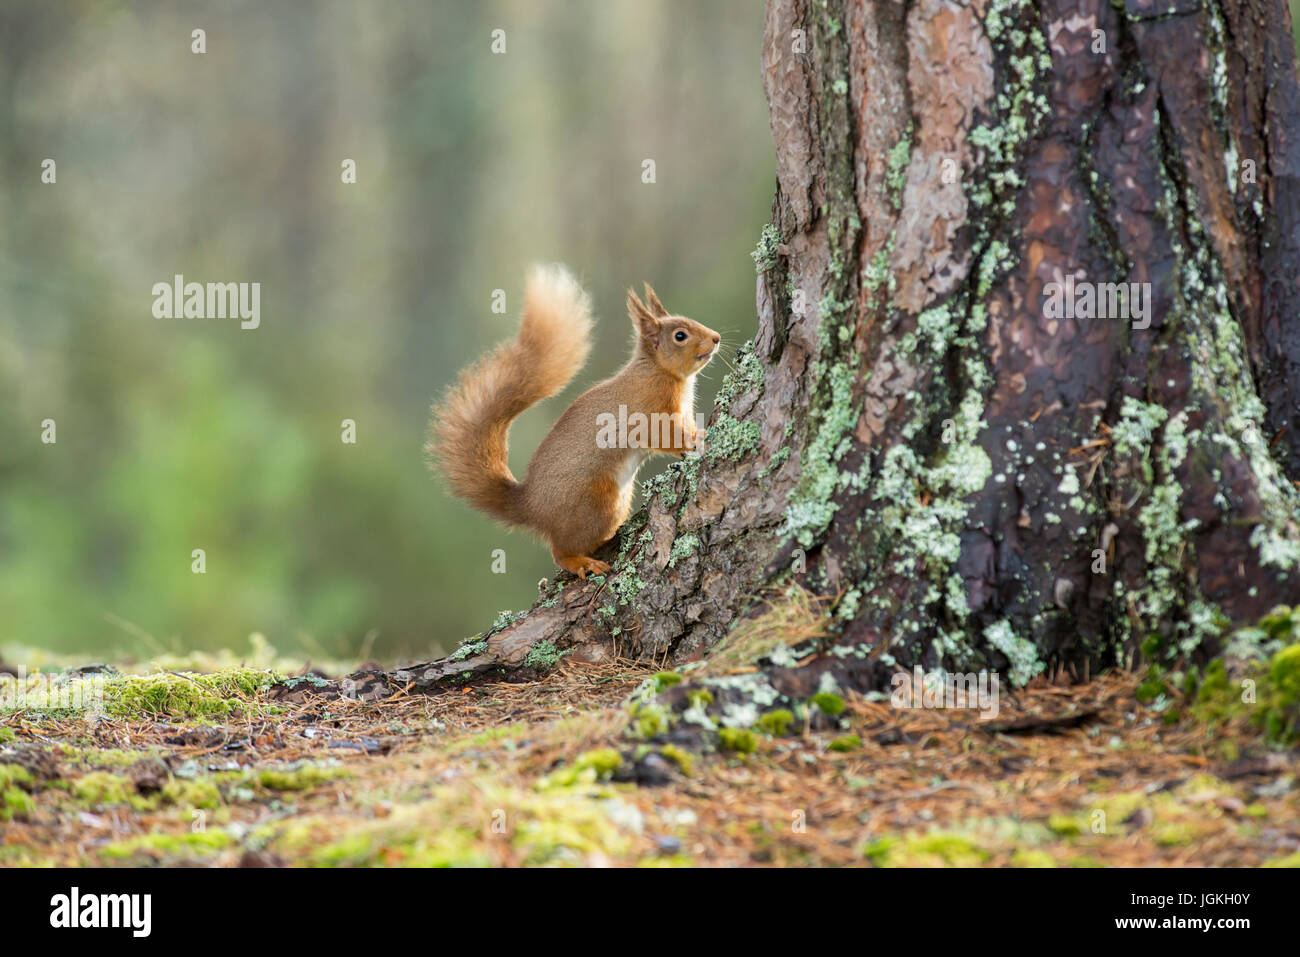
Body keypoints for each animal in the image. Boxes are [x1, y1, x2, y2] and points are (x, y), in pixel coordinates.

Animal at [426, 264, 721, 579]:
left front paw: (697, 433)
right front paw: (695, 440)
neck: (658, 371)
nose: (716, 337)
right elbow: (664, 437)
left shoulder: (683, 411)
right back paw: (582, 562)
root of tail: (532, 507)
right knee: (560, 551)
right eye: (680, 336)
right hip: (595, 503)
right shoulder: (649, 410)